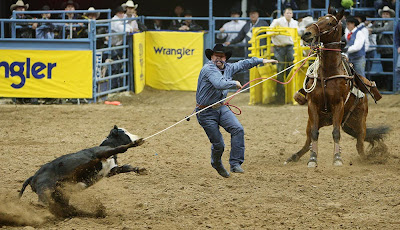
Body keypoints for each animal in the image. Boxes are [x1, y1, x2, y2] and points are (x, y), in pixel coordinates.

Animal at [284, 6, 388, 166]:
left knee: (360, 145)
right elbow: (314, 134)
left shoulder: (338, 105)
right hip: (322, 120)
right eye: (319, 19)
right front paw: (313, 159)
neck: (328, 72)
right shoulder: (312, 105)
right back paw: (294, 157)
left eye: (330, 23)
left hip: (359, 123)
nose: (307, 33)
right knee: (308, 140)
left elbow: (336, 133)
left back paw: (366, 159)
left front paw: (337, 158)